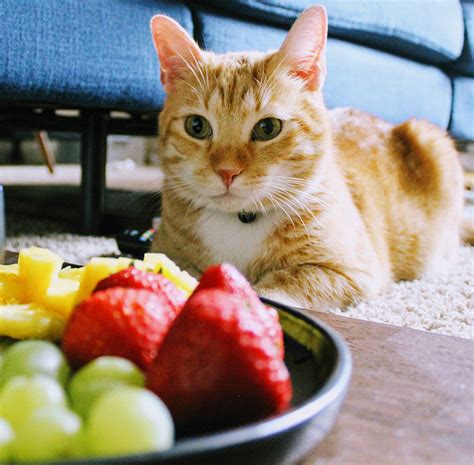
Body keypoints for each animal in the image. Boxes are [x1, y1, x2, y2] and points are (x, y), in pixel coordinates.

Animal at [150, 6, 464, 308]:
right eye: (196, 126)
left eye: (268, 128)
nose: (227, 172)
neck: (242, 220)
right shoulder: (166, 251)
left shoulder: (351, 272)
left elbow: (285, 283)